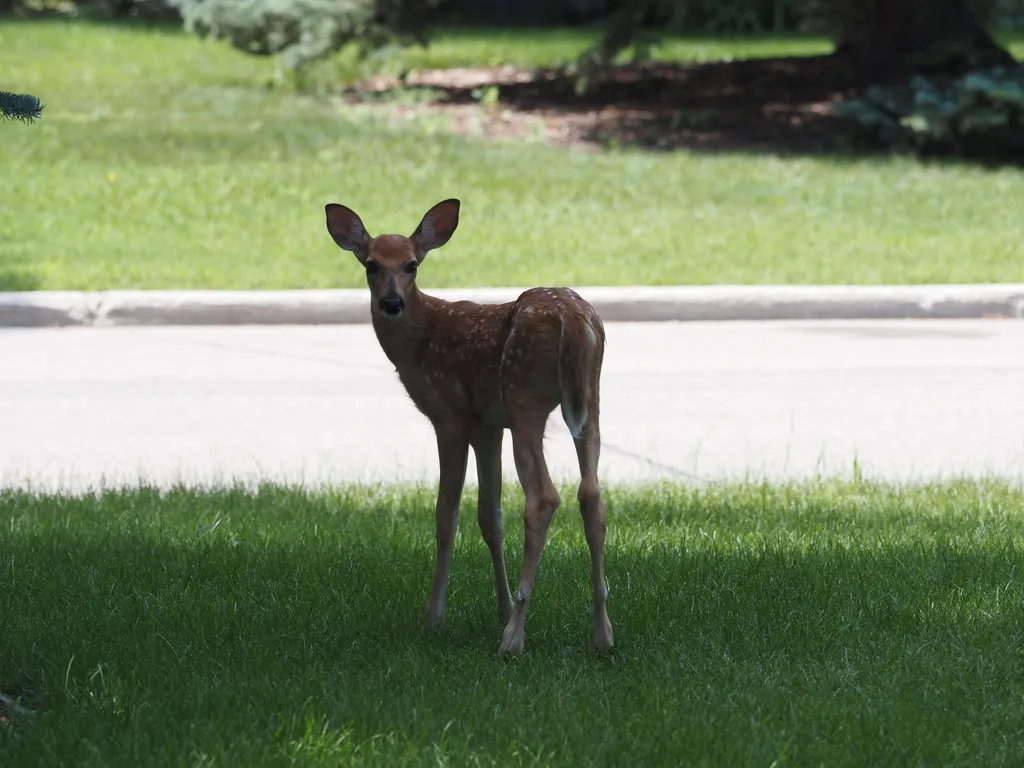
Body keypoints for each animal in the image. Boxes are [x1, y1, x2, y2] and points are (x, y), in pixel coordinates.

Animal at [324, 198, 613, 657]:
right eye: (371, 264)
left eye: (411, 265)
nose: (391, 302)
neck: (421, 341)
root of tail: (572, 317)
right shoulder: (487, 425)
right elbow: (490, 517)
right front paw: (499, 605)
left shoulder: (452, 418)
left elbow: (447, 514)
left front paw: (434, 617)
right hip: (590, 401)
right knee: (592, 495)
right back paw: (601, 633)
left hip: (525, 400)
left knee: (544, 498)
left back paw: (514, 637)